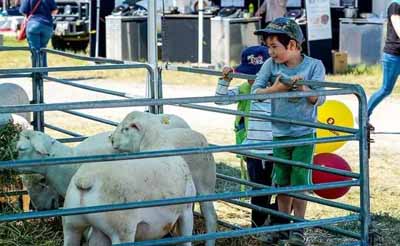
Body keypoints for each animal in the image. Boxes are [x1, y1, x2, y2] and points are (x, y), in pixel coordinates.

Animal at [62, 113, 195, 246]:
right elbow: (186, 239)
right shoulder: (187, 210)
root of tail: (87, 179)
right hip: (122, 229)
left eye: (125, 128)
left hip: (72, 224)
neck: (156, 145)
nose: (111, 139)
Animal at [109, 111, 217, 246]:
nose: (111, 139)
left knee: (211, 217)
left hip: (205, 185)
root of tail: (200, 136)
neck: (155, 142)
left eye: (126, 128)